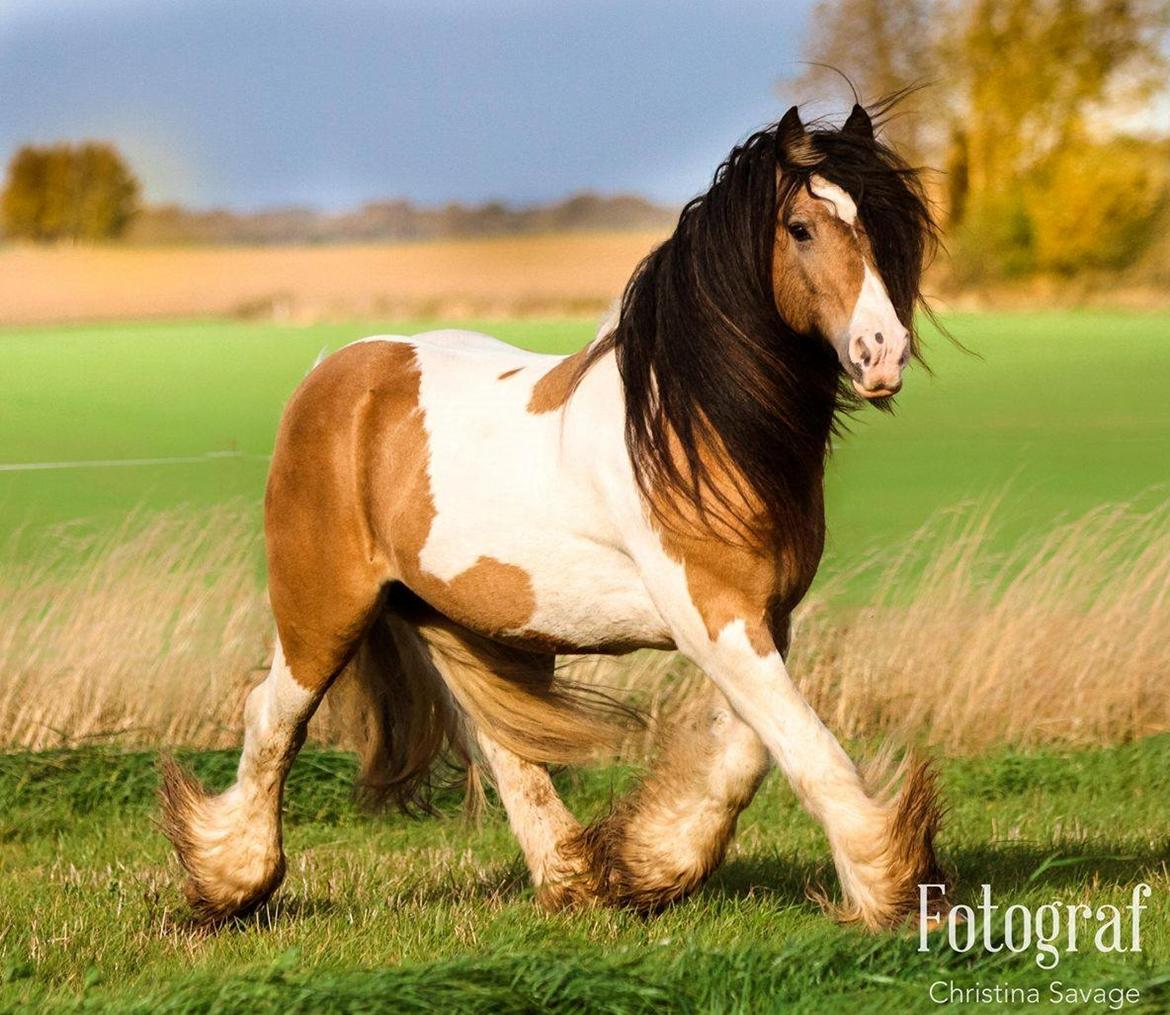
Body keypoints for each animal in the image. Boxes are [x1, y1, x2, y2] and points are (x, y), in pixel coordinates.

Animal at [160, 101, 950, 926]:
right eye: (800, 227)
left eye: (885, 226)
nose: (882, 352)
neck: (688, 432)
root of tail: (332, 373)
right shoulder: (715, 616)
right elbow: (807, 749)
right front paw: (894, 890)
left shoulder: (766, 617)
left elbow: (749, 752)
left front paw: (652, 863)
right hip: (323, 609)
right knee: (271, 717)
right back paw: (231, 883)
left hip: (475, 621)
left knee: (502, 742)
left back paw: (573, 880)